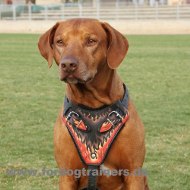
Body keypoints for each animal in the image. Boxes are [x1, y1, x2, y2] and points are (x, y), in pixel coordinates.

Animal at [37, 18, 149, 190]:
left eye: (91, 41)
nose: (67, 65)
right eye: (60, 42)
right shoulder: (67, 176)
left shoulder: (133, 174)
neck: (93, 104)